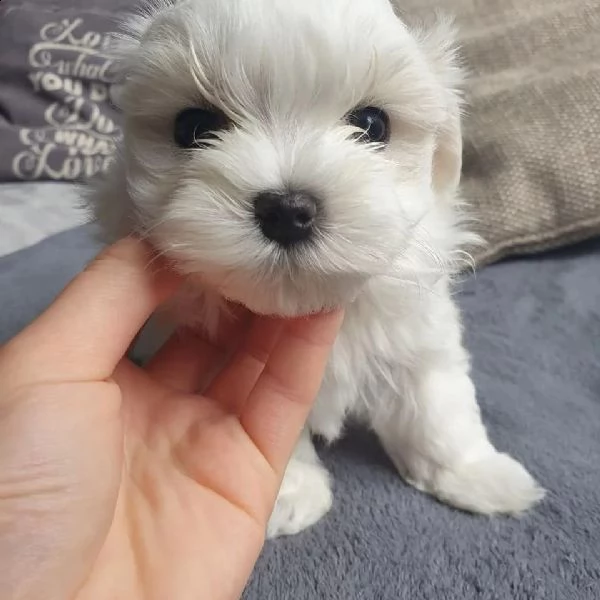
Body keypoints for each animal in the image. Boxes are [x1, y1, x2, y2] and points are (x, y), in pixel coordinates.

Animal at [90, 0, 544, 536]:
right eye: (194, 127)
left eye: (372, 125)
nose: (288, 210)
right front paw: (291, 494)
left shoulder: (418, 334)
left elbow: (438, 406)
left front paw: (475, 475)